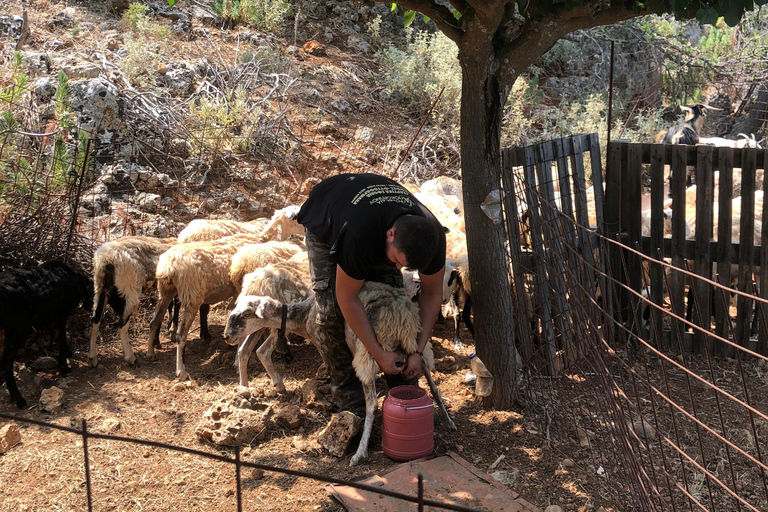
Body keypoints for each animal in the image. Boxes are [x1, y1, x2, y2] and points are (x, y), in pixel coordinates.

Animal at [0, 260, 92, 408]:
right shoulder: (63, 312)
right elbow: (61, 335)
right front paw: (64, 366)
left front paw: (68, 353)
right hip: (18, 329)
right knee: (6, 362)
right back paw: (18, 399)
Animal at [89, 236, 176, 368]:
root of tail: (107, 258)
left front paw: (157, 341)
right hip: (130, 290)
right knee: (122, 323)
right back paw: (131, 358)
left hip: (101, 287)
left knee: (96, 319)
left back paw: (93, 358)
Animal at [226, 282, 456, 466]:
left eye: (246, 314)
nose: (227, 336)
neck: (303, 316)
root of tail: (399, 315)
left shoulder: (323, 343)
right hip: (417, 347)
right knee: (434, 387)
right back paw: (449, 423)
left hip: (368, 352)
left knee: (372, 404)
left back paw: (359, 453)